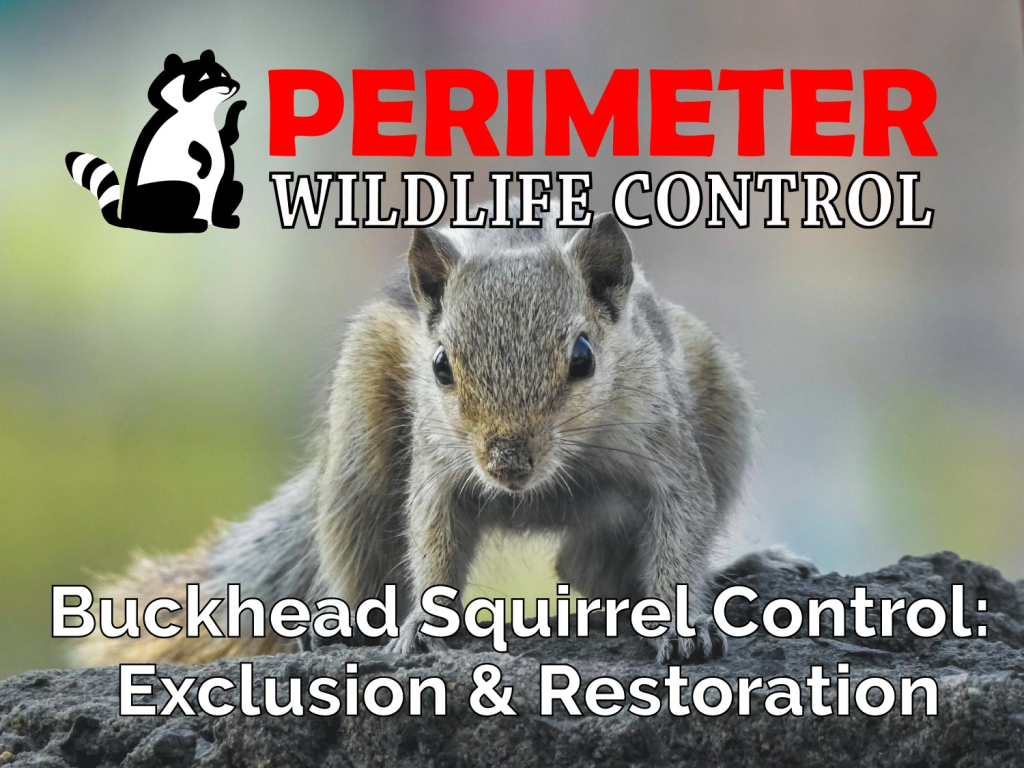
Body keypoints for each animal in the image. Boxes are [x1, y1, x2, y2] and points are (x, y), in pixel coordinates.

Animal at [73, 200, 815, 667]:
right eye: (439, 366)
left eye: (583, 357)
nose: (508, 463)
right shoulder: (438, 466)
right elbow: (431, 539)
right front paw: (425, 628)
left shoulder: (666, 449)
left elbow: (680, 528)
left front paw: (687, 626)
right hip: (359, 444)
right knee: (362, 547)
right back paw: (347, 631)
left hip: (722, 409)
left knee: (590, 573)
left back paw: (735, 571)